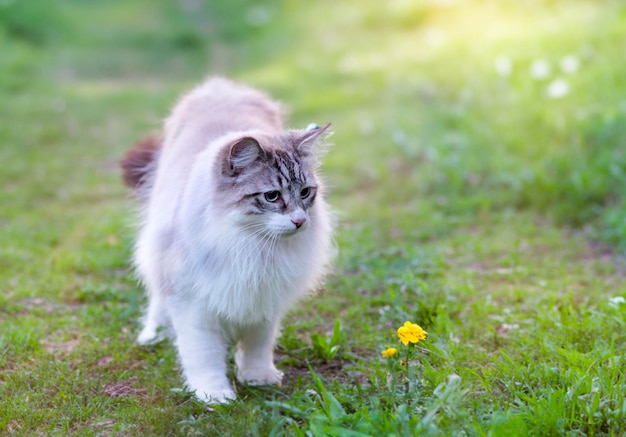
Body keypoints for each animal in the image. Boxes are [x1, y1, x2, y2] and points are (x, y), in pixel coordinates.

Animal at [120, 76, 334, 404]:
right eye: (272, 196)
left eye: (306, 193)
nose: (300, 221)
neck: (250, 245)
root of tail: (220, 84)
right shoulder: (193, 303)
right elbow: (204, 355)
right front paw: (214, 394)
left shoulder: (265, 297)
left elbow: (258, 347)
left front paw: (258, 379)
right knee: (156, 295)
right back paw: (152, 333)